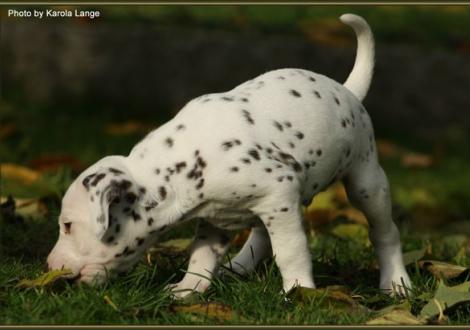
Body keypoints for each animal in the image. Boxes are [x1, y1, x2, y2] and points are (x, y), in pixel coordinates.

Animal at [46, 13, 412, 296]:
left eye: (68, 225)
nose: (50, 265)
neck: (181, 165)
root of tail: (348, 90)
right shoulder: (217, 219)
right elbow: (201, 257)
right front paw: (188, 289)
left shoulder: (279, 194)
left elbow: (290, 252)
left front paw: (299, 291)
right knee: (260, 237)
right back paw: (238, 267)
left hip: (366, 183)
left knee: (385, 232)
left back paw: (396, 283)